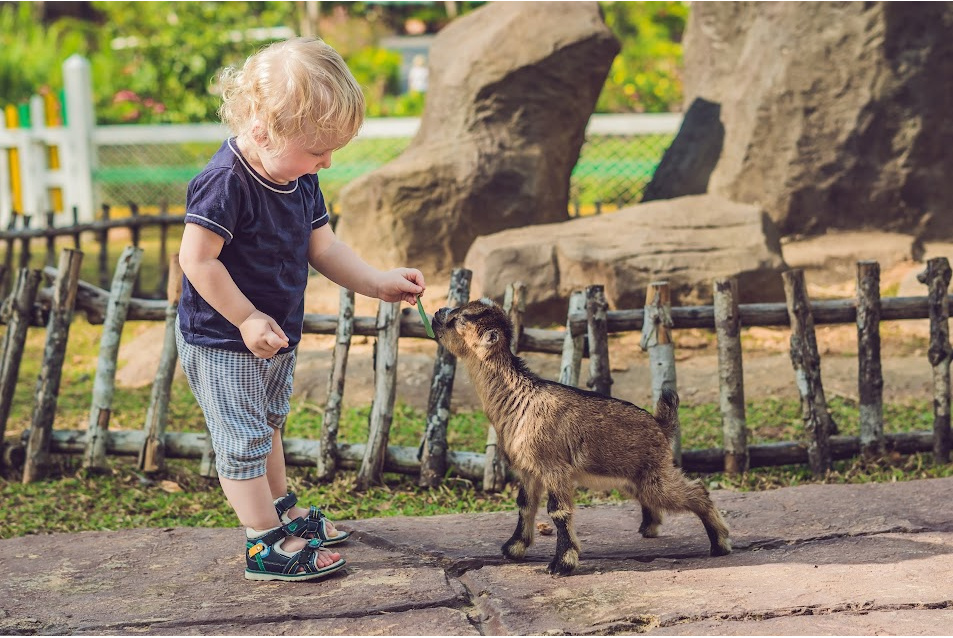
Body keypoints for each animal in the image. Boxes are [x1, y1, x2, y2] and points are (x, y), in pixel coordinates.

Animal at [436, 302, 732, 576]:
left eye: (461, 319)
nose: (439, 312)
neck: (519, 399)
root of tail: (661, 425)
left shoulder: (554, 468)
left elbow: (557, 511)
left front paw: (562, 564)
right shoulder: (528, 471)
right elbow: (525, 505)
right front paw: (514, 549)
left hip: (655, 476)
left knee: (697, 490)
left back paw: (720, 543)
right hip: (632, 477)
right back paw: (650, 528)